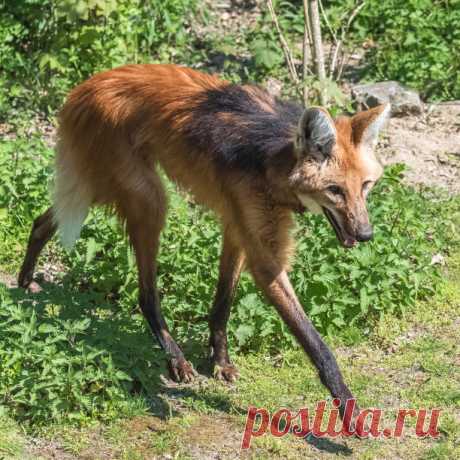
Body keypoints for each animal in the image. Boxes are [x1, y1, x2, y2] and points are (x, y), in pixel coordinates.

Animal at [18, 63, 392, 424]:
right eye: (335, 191)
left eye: (366, 186)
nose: (365, 235)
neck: (273, 162)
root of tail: (84, 87)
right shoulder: (263, 255)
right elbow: (316, 344)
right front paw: (349, 410)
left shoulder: (237, 225)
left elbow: (222, 303)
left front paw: (220, 361)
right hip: (147, 197)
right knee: (146, 293)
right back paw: (175, 359)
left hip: (102, 184)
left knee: (45, 219)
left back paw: (25, 280)